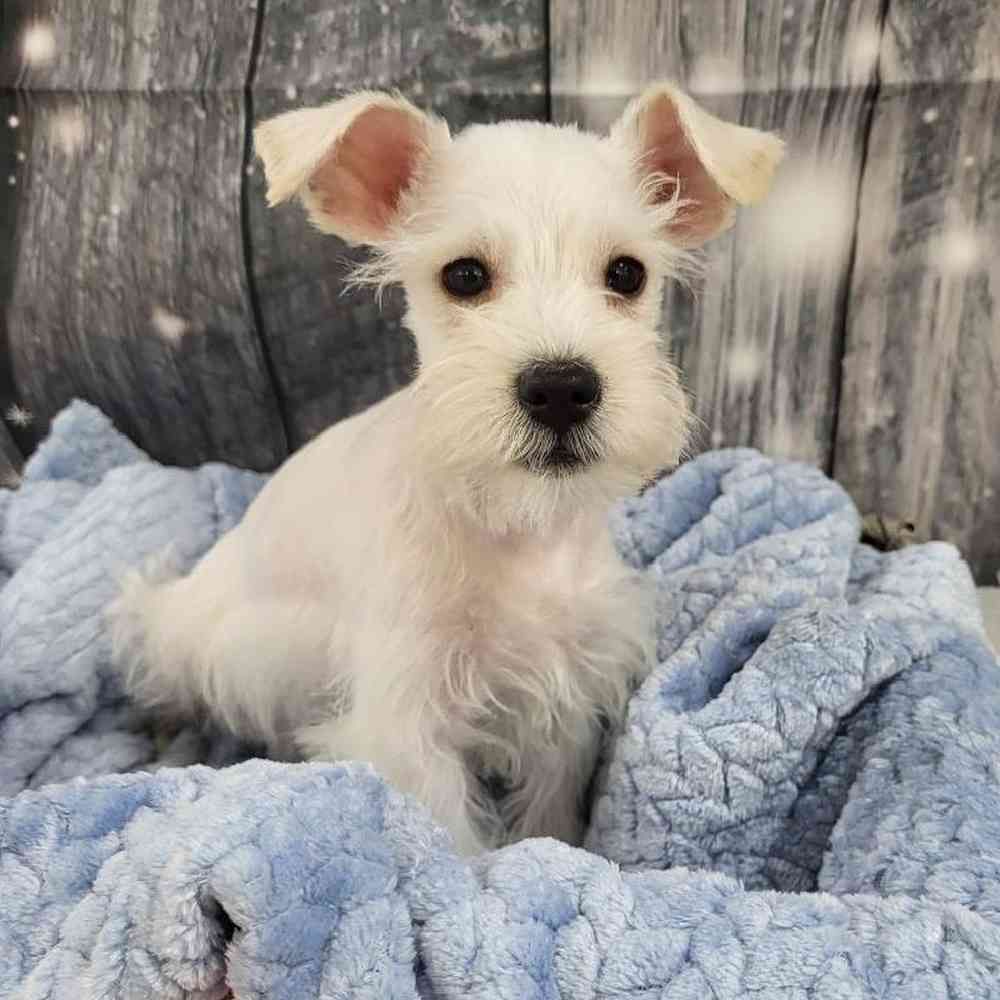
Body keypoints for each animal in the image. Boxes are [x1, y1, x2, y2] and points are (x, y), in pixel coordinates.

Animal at [109, 84, 780, 852]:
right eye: (463, 276)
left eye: (627, 273)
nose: (560, 389)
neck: (512, 528)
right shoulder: (407, 719)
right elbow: (449, 841)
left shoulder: (566, 690)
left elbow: (549, 808)